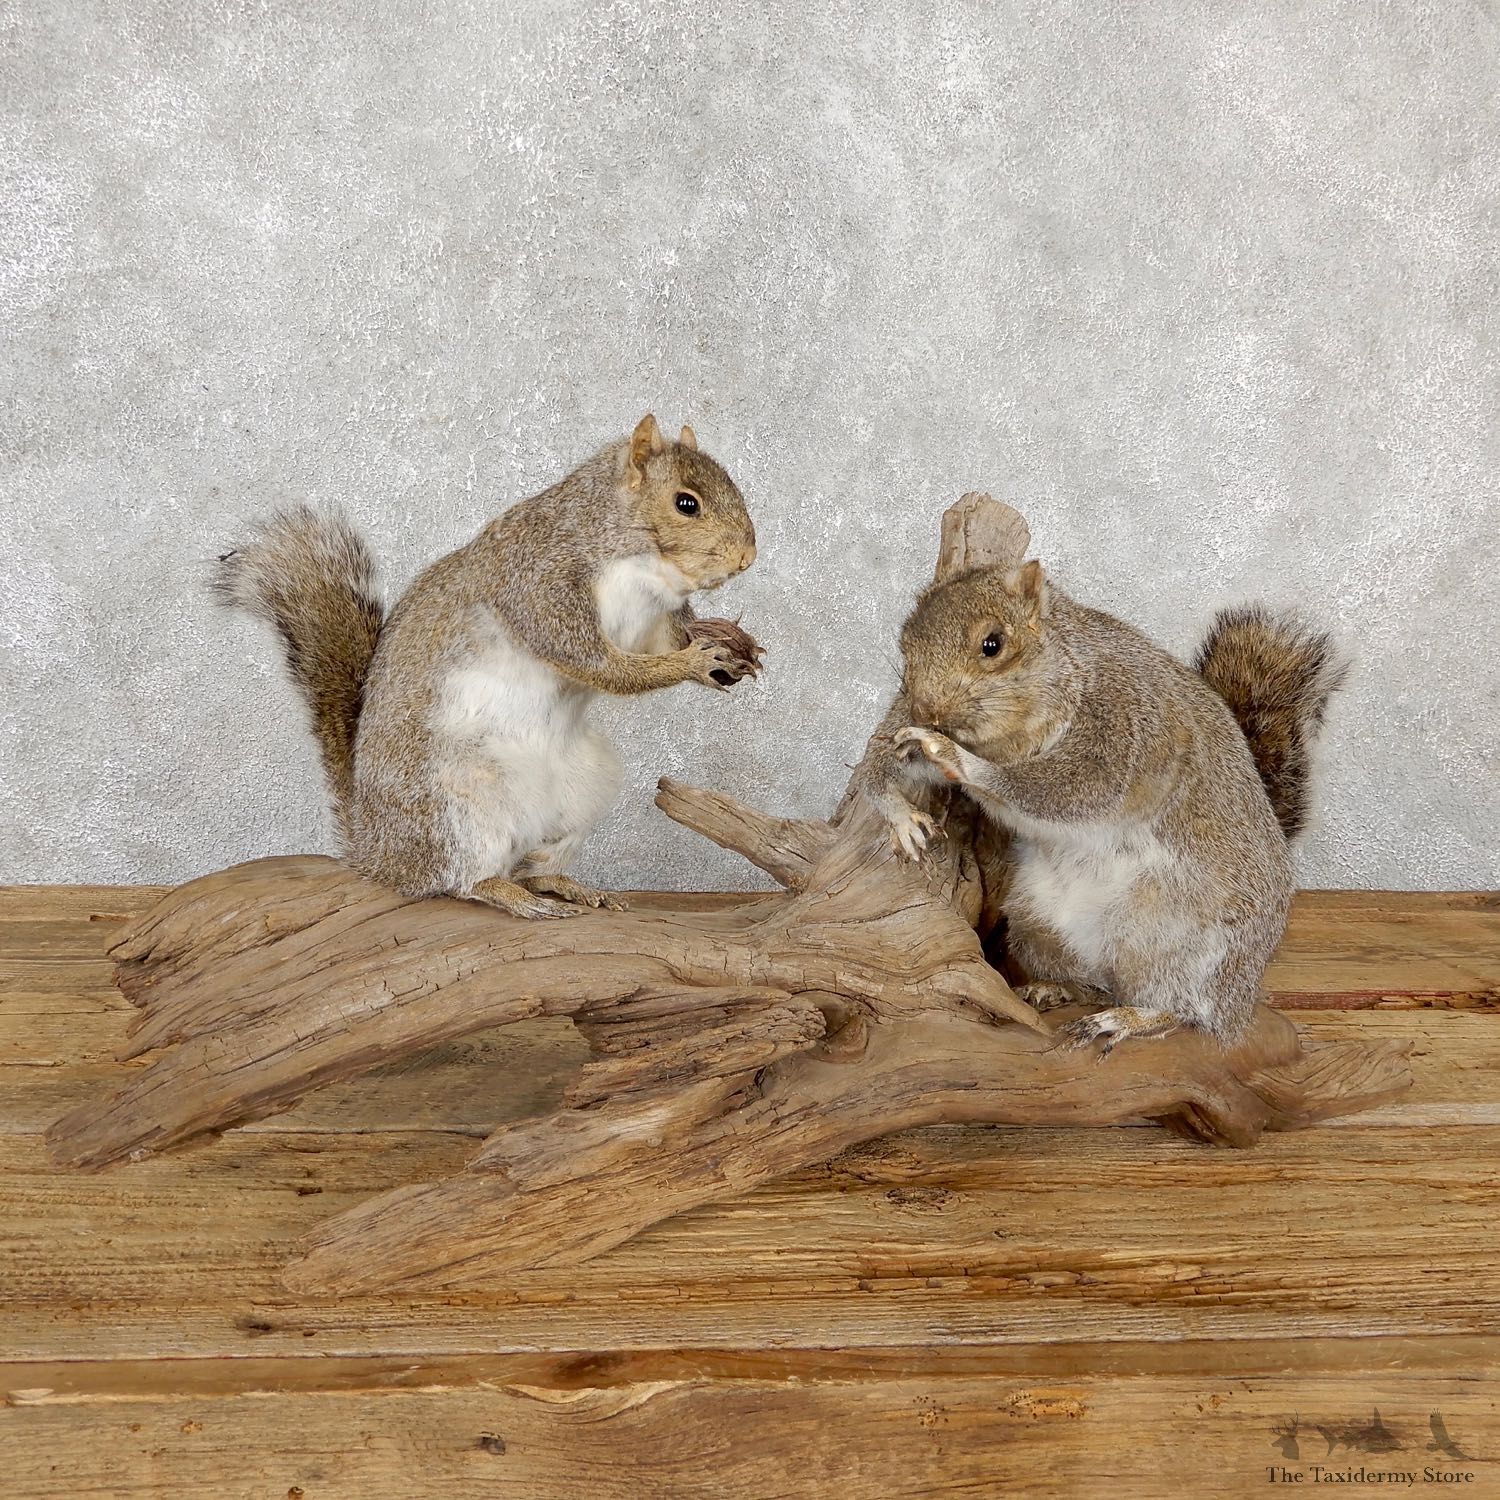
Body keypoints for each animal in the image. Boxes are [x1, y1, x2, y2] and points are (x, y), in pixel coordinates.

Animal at [215, 414, 762, 919]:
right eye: (685, 503)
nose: (747, 558)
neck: (641, 566)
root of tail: (379, 855)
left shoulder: (651, 620)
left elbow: (658, 642)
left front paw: (728, 643)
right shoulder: (541, 590)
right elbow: (601, 665)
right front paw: (693, 661)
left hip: (582, 789)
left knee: (531, 865)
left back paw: (566, 886)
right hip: (455, 809)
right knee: (465, 879)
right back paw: (510, 896)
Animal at [873, 559, 1347, 1051]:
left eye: (993, 644)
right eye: (905, 642)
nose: (925, 710)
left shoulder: (1121, 725)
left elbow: (1069, 789)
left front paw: (955, 758)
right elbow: (882, 763)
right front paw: (900, 815)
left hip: (1173, 942)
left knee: (1187, 1008)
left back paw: (1131, 1018)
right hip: (1037, 927)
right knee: (1097, 983)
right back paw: (1058, 989)